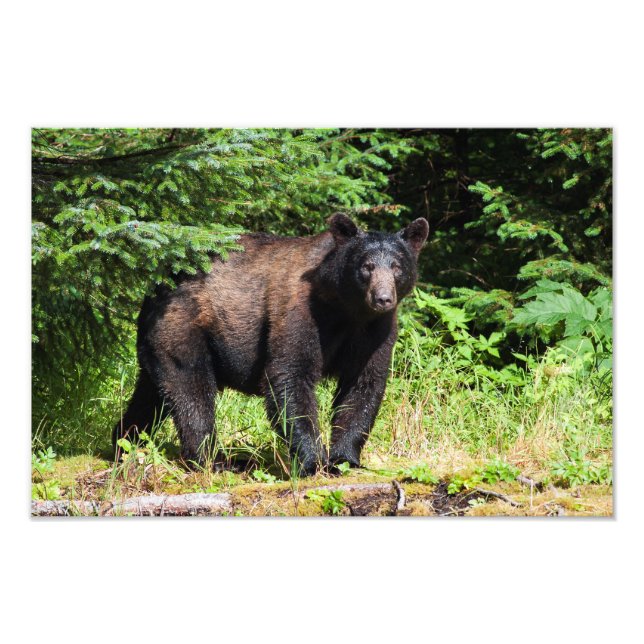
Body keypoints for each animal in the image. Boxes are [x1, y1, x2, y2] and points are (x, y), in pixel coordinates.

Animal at [113, 213, 429, 475]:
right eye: (367, 266)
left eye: (397, 266)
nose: (383, 298)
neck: (346, 309)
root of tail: (155, 287)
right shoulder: (300, 311)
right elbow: (290, 375)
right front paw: (313, 462)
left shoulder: (375, 331)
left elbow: (363, 385)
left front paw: (344, 459)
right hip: (184, 327)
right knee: (191, 391)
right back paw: (215, 460)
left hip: (160, 342)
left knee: (152, 394)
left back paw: (124, 441)